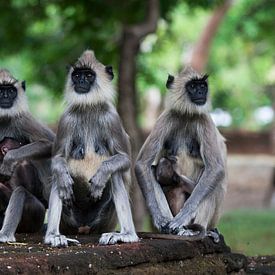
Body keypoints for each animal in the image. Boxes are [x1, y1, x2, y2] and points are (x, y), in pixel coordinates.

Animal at [0, 69, 55, 244]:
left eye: (10, 91)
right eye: (0, 90)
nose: (5, 97)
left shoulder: (21, 118)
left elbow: (50, 143)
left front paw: (8, 160)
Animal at [45, 49, 140, 248]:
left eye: (88, 76)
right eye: (77, 75)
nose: (80, 82)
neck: (88, 107)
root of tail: (84, 228)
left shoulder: (112, 117)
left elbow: (124, 159)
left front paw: (101, 176)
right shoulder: (66, 118)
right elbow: (57, 159)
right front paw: (64, 178)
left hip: (105, 219)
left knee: (116, 172)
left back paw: (127, 234)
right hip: (69, 220)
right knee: (59, 174)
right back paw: (54, 236)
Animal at [135, 67, 227, 242]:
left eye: (202, 86)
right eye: (192, 86)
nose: (201, 92)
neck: (187, 115)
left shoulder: (205, 121)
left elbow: (215, 168)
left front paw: (183, 217)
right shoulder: (166, 117)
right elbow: (142, 164)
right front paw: (158, 219)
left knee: (215, 182)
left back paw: (197, 230)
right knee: (152, 169)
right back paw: (169, 228)